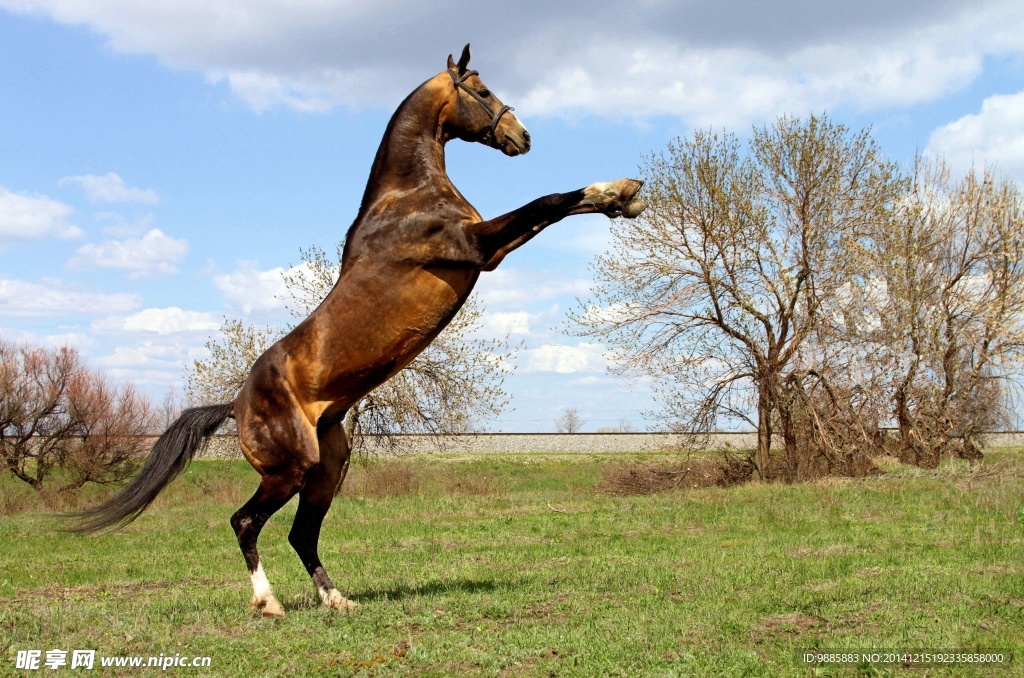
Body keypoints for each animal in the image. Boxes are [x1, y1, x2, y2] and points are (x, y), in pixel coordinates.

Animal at [73, 44, 646, 618]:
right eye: (482, 91)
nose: (522, 137)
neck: (407, 197)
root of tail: (234, 405)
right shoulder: (475, 246)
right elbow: (546, 202)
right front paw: (620, 191)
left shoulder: (491, 252)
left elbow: (552, 210)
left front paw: (623, 198)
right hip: (290, 467)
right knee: (245, 522)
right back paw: (269, 603)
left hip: (327, 469)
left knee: (301, 533)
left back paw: (337, 599)